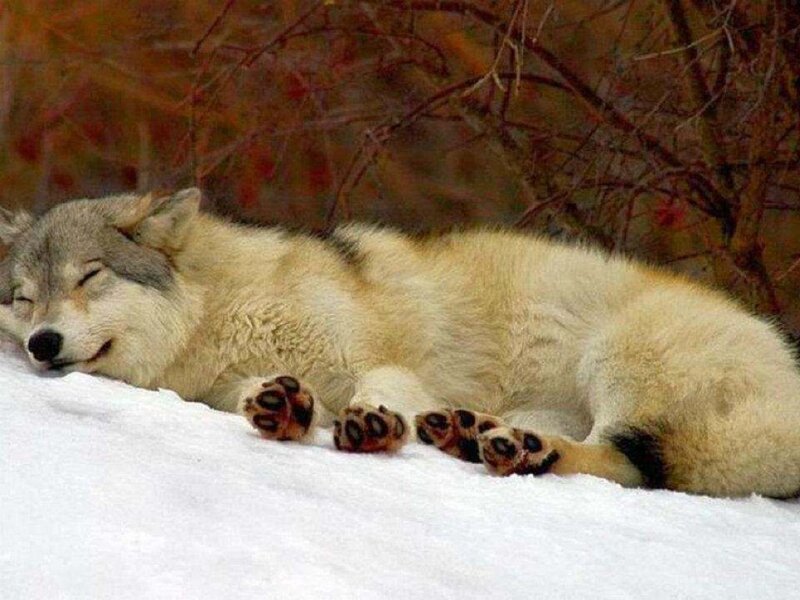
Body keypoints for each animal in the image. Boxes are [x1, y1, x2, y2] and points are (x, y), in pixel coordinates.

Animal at [2, 189, 799, 498]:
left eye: (89, 276)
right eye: (23, 297)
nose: (41, 343)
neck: (221, 313)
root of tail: (788, 370)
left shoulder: (379, 361)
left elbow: (380, 390)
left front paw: (373, 425)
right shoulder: (235, 382)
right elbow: (265, 395)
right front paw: (282, 407)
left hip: (618, 361)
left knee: (623, 463)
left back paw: (518, 450)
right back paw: (469, 434)